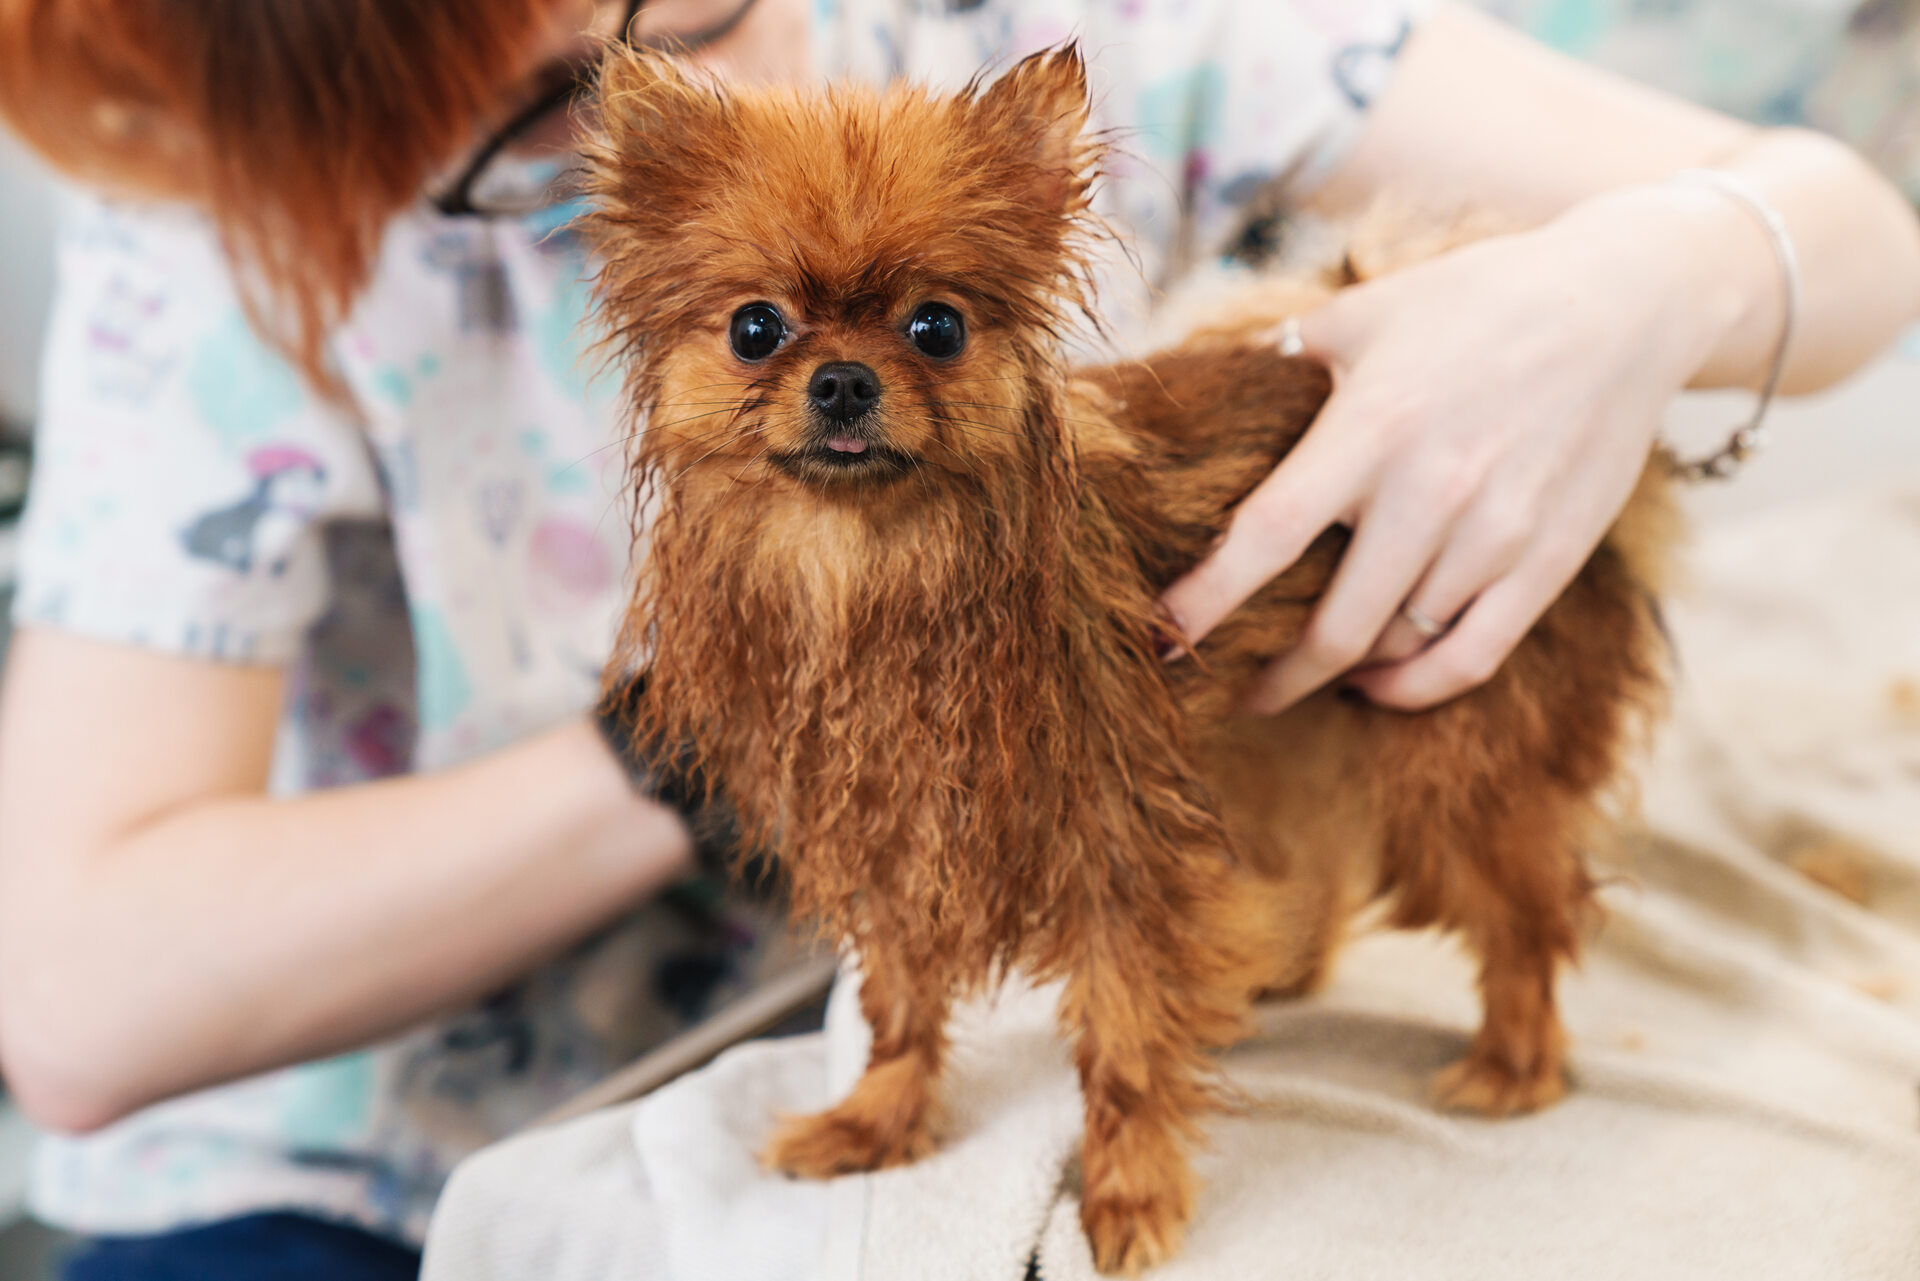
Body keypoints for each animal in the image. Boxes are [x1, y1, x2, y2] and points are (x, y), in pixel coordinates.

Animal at [576, 42, 1674, 1275]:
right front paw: (877, 1125)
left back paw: (1513, 1064)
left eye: (937, 328)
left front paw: (1129, 1193)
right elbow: (899, 1014)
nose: (845, 379)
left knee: (1528, 919)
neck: (869, 573)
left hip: (1452, 769)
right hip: (1282, 739)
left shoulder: (1118, 860)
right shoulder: (899, 856)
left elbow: (1125, 1043)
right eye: (756, 330)